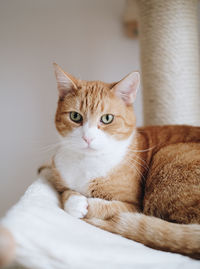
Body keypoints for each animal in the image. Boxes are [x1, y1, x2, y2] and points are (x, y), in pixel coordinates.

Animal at [47, 62, 199, 258]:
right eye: (75, 116)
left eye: (107, 118)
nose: (87, 138)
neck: (87, 163)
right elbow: (65, 191)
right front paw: (74, 200)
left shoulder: (134, 205)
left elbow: (108, 208)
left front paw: (87, 204)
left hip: (168, 156)